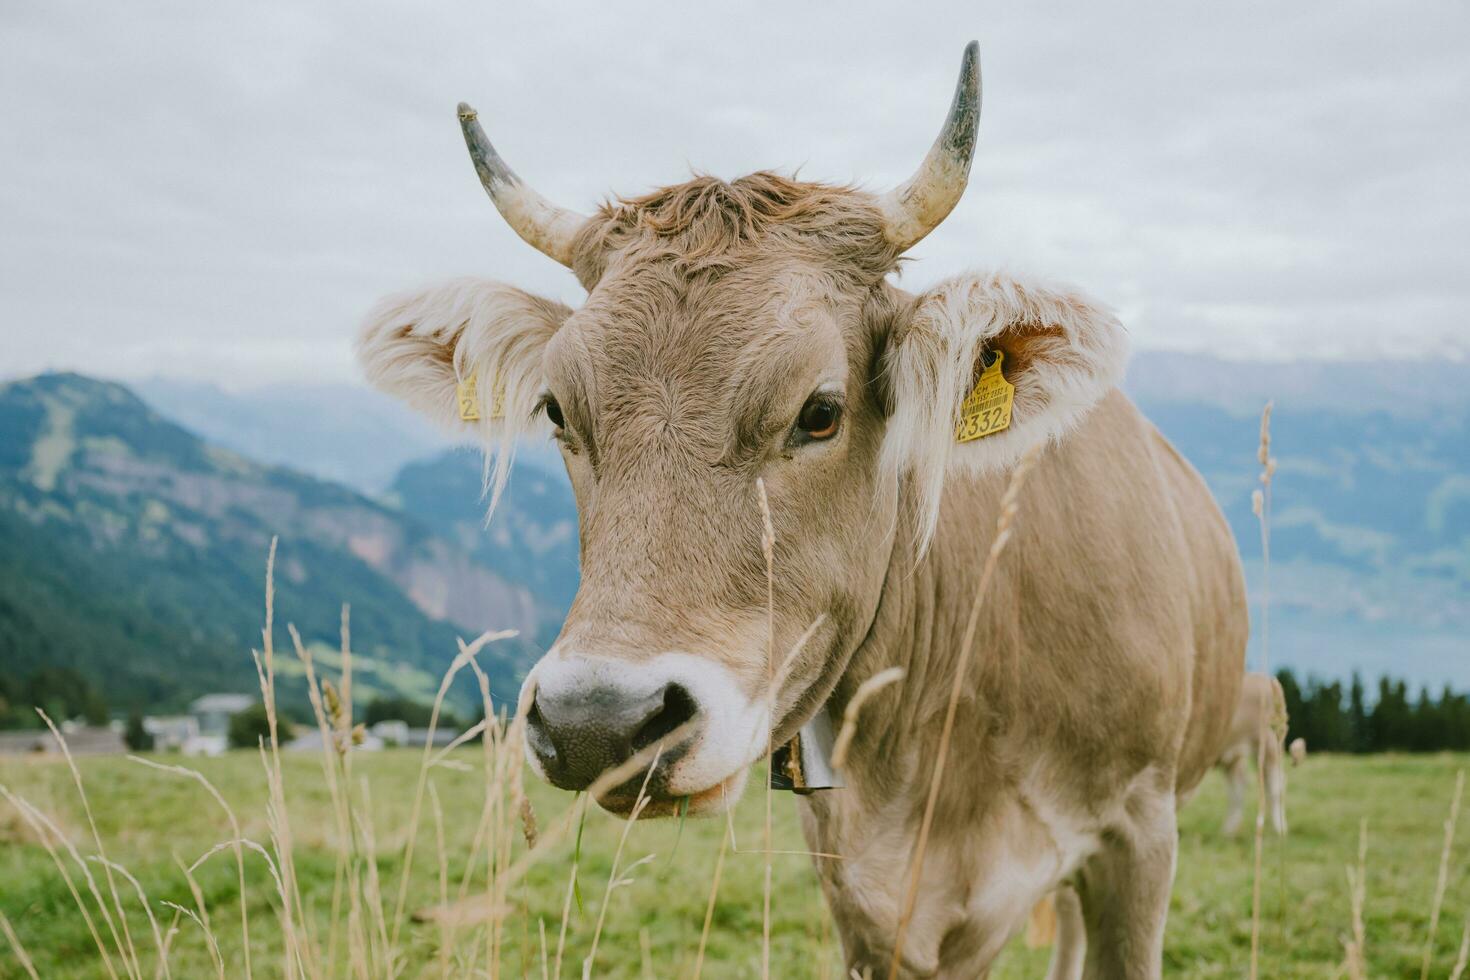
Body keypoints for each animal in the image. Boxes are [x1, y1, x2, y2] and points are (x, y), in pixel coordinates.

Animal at [1217, 669, 1287, 840]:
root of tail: (1266, 678)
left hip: (1270, 744)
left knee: (1275, 786)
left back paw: (1280, 830)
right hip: (1234, 757)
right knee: (1238, 789)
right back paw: (1228, 831)